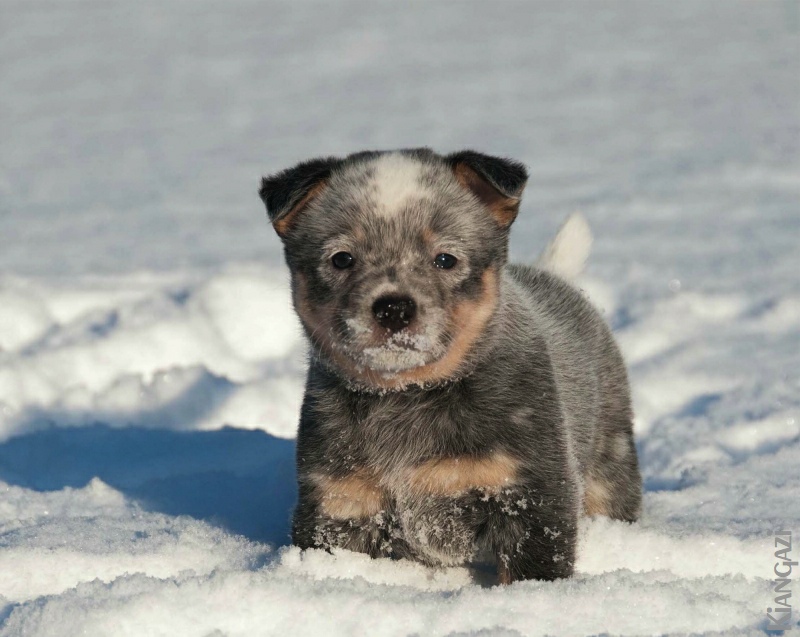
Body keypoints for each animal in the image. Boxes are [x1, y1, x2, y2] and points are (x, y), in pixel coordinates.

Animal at [260, 148, 640, 580]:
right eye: (342, 259)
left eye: (445, 259)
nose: (393, 307)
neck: (407, 395)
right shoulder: (341, 500)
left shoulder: (529, 493)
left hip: (610, 460)